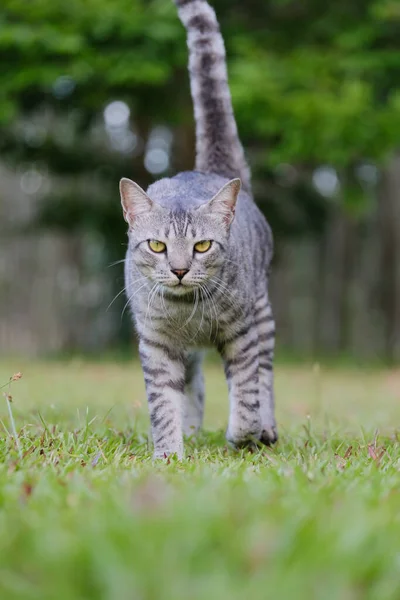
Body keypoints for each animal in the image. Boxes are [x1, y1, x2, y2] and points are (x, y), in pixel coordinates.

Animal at [118, 0, 278, 458]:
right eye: (156, 245)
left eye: (203, 246)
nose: (179, 269)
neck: (187, 311)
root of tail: (212, 168)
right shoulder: (156, 344)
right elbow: (163, 403)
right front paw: (169, 452)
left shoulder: (242, 331)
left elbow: (247, 393)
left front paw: (243, 436)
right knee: (196, 385)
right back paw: (191, 432)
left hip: (264, 315)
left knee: (265, 378)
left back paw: (266, 430)